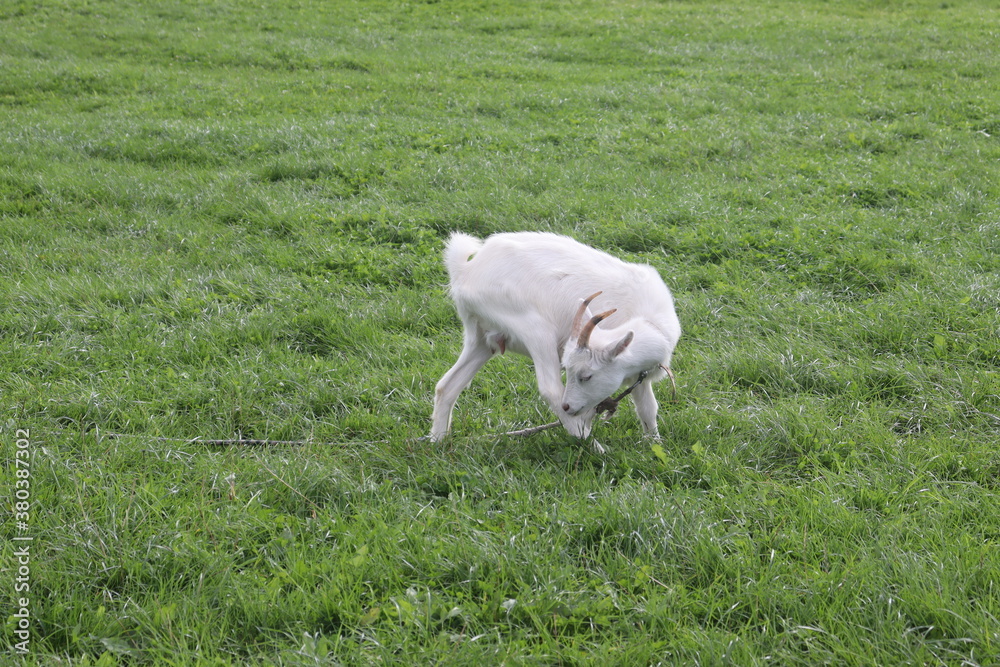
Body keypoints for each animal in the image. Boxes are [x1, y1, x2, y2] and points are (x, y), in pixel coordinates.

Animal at [430, 231, 681, 451]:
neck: (650, 322)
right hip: (534, 328)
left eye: (586, 376)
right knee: (550, 388)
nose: (568, 406)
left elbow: (648, 408)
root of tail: (466, 271)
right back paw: (593, 446)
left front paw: (655, 445)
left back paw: (437, 442)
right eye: (578, 373)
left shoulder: (638, 375)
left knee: (446, 385)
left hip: (481, 338)